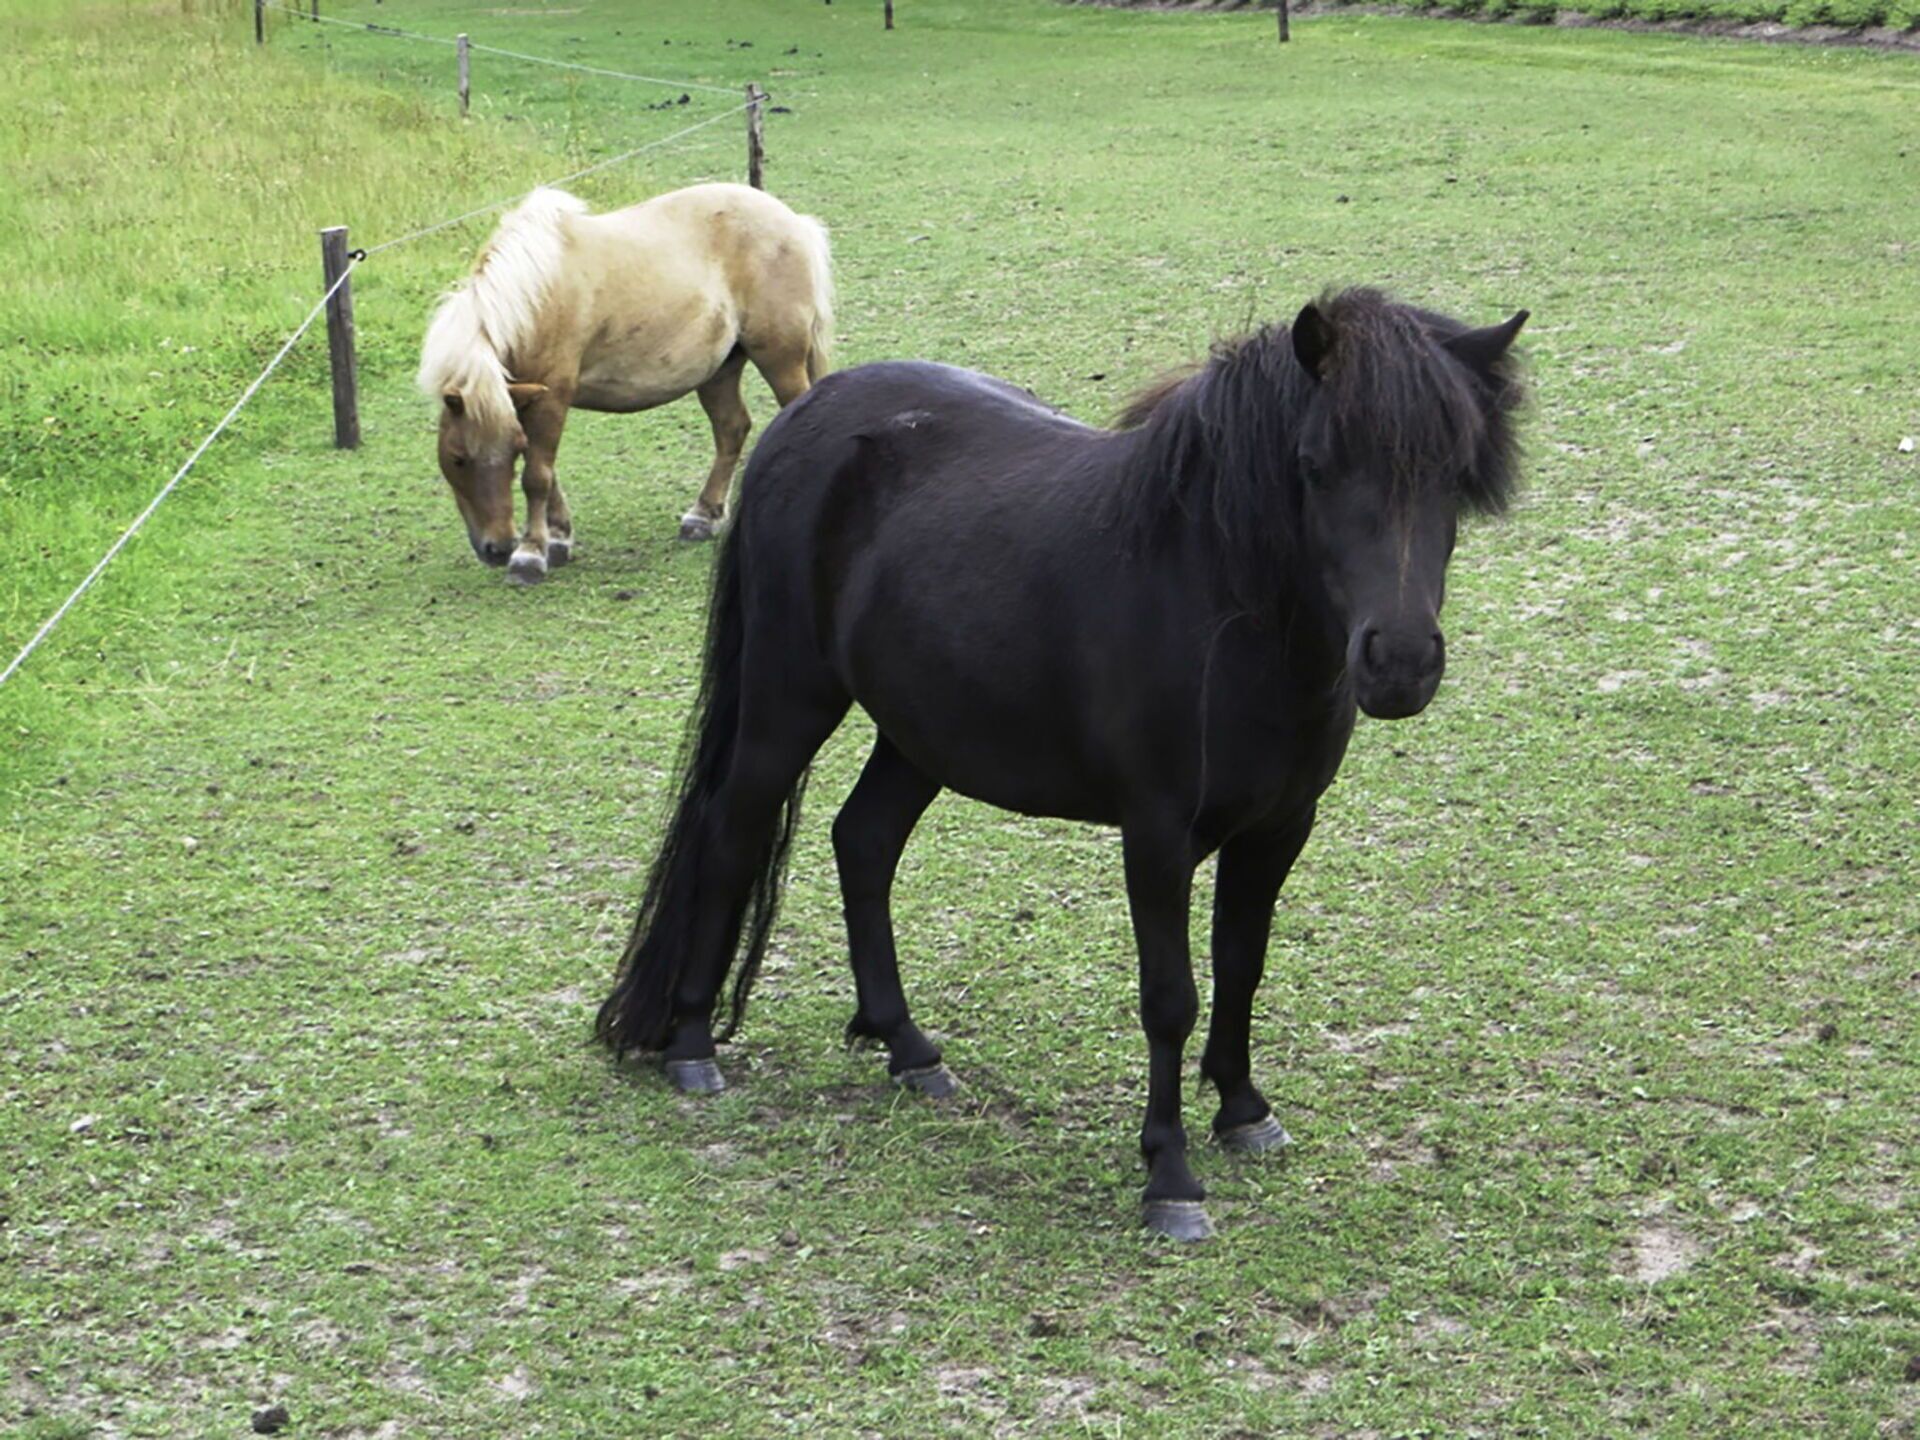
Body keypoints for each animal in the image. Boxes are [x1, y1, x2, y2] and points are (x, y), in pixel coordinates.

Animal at [416, 182, 834, 584]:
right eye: (458, 458)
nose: (498, 548)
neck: (537, 297)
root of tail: (797, 224)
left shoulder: (551, 397)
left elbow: (537, 477)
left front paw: (530, 555)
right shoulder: (526, 400)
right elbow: (547, 472)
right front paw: (558, 537)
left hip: (781, 361)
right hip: (720, 370)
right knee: (732, 429)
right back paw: (703, 516)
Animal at [597, 288, 1528, 1239]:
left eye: (1456, 471)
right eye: (1315, 463)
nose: (1401, 662)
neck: (1215, 601)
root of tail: (804, 415)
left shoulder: (1278, 829)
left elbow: (1242, 965)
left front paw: (1243, 1111)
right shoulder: (1157, 836)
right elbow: (1171, 997)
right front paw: (1171, 1177)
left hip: (923, 731)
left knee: (863, 841)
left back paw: (907, 1047)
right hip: (790, 702)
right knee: (731, 834)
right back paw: (692, 1045)